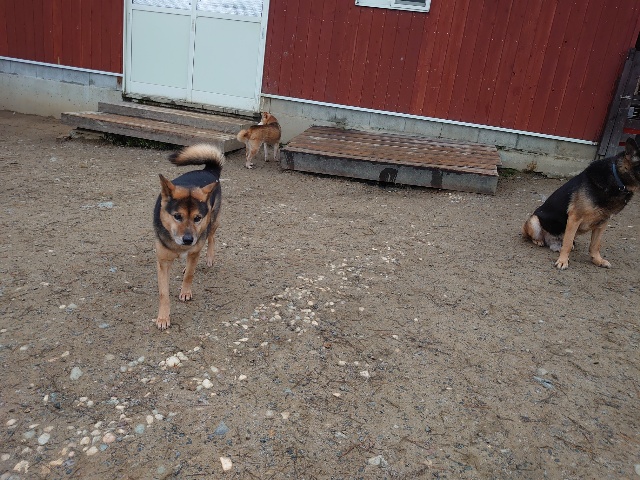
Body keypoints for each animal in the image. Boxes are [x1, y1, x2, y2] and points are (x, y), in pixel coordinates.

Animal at [153, 144, 224, 330]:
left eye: (197, 218)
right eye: (177, 216)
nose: (188, 240)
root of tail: (208, 170)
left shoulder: (194, 249)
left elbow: (190, 274)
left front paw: (185, 291)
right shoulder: (163, 262)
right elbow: (163, 293)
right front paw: (163, 317)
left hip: (213, 221)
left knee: (211, 237)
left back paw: (209, 257)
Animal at [522, 135, 640, 269]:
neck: (617, 180)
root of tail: (550, 239)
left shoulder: (602, 223)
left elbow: (595, 245)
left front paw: (597, 260)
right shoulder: (575, 218)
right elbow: (567, 244)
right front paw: (563, 261)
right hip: (534, 221)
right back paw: (539, 240)